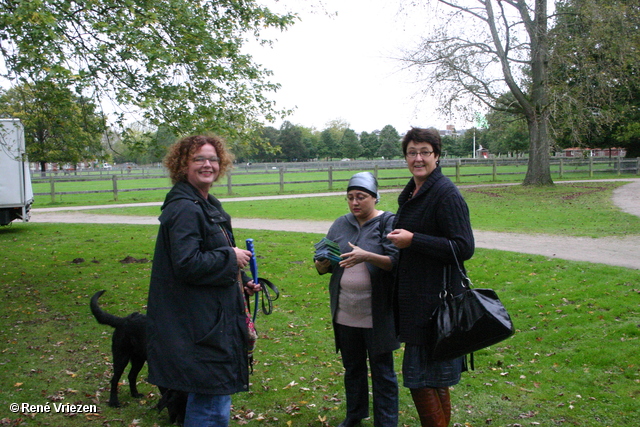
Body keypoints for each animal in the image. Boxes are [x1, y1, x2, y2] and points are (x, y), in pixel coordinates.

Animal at [90, 290, 185, 424]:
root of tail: (124, 320)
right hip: (121, 357)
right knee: (114, 380)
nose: (178, 422)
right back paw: (113, 402)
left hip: (138, 359)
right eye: (178, 406)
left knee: (131, 375)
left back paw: (134, 393)